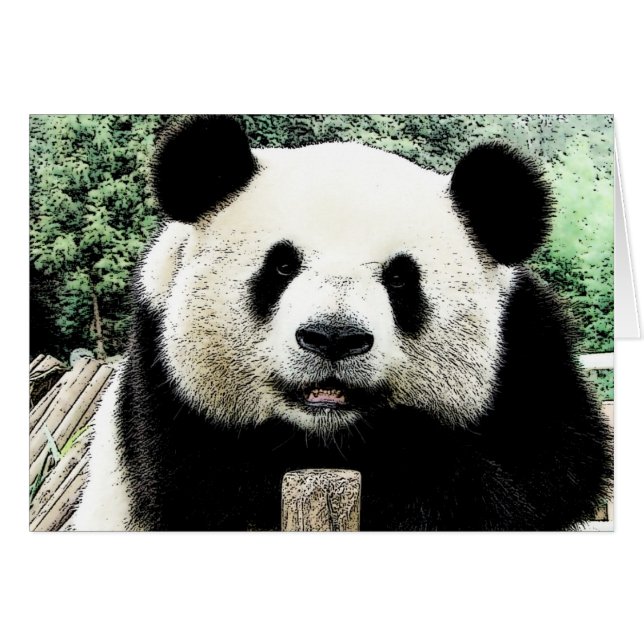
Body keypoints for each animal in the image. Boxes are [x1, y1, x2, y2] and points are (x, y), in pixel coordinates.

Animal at [71, 115, 612, 531]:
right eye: (281, 266)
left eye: (401, 278)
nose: (333, 338)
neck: (328, 433)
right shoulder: (162, 391)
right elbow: (216, 489)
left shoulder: (526, 355)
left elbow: (546, 476)